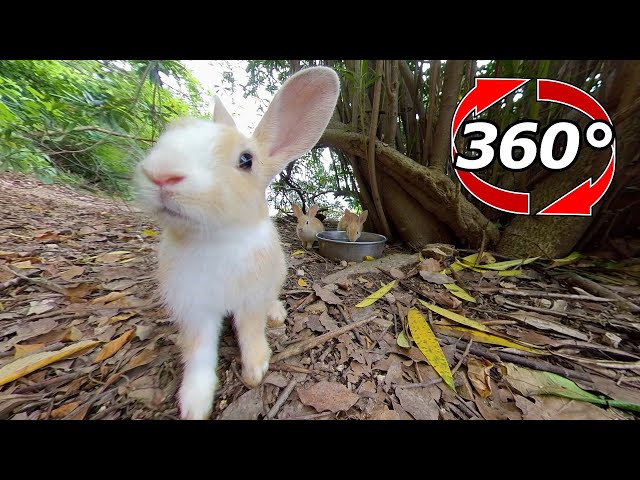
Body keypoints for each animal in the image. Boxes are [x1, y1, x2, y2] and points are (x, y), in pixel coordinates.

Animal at [133, 66, 340, 420]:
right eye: (167, 135)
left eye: (246, 160)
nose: (160, 174)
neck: (215, 237)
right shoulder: (194, 309)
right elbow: (199, 353)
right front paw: (194, 405)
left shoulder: (250, 301)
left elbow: (251, 332)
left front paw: (255, 370)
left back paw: (277, 313)